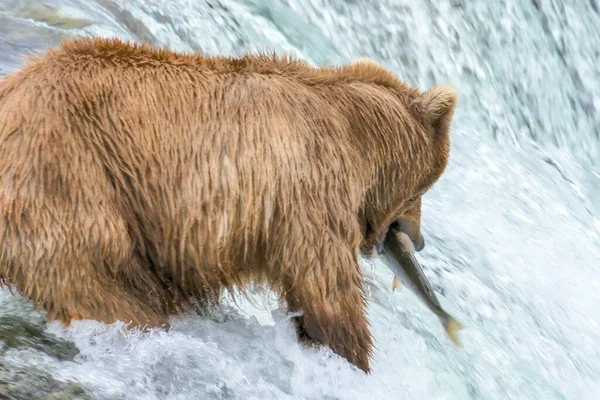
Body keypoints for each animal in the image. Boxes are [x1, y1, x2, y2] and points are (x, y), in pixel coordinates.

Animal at [0, 36, 458, 372]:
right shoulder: (308, 187)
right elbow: (326, 292)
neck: (360, 135)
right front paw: (350, 359)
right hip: (70, 188)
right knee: (111, 294)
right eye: (423, 190)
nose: (418, 240)